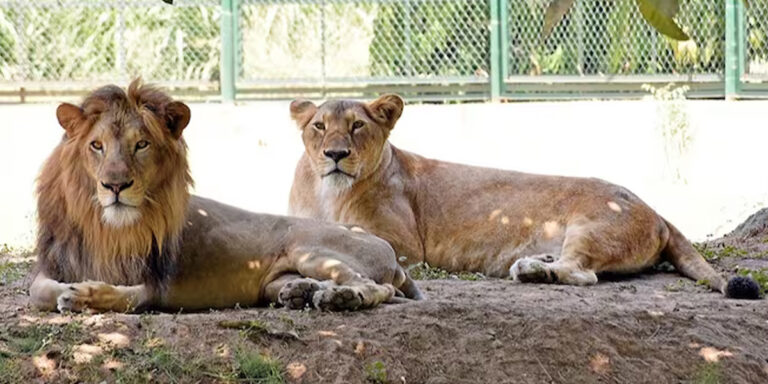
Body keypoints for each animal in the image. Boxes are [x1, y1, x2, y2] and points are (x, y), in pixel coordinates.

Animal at [30, 81, 424, 312]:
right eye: (96, 145)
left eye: (141, 145)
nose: (115, 186)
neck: (105, 227)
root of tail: (387, 251)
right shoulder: (51, 267)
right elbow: (38, 291)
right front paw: (70, 291)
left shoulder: (160, 285)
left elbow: (128, 297)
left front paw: (85, 295)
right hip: (279, 276)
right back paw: (301, 292)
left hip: (309, 247)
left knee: (373, 286)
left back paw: (339, 298)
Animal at [290, 94, 760, 298]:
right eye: (319, 126)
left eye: (357, 126)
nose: (335, 155)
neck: (328, 192)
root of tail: (657, 210)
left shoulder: (407, 247)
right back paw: (537, 262)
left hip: (593, 226)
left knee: (583, 274)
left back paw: (532, 270)